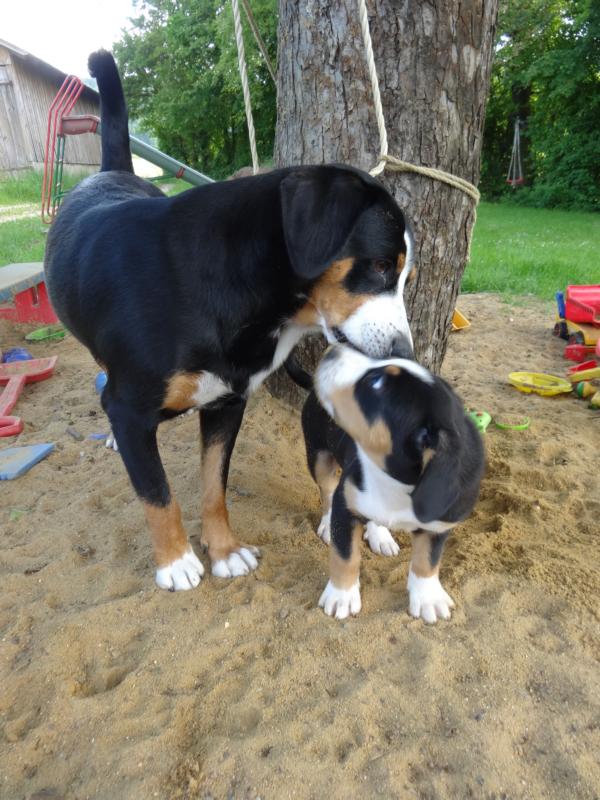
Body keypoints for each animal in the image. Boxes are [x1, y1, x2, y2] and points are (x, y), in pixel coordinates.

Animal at [44, 50, 417, 591]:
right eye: (382, 265)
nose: (403, 350)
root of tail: (109, 174)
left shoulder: (226, 404)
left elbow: (213, 486)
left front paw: (223, 551)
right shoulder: (131, 408)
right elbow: (157, 492)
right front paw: (176, 561)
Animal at [301, 345, 485, 622]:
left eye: (375, 383)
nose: (334, 349)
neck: (395, 482)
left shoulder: (440, 523)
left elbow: (427, 560)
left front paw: (428, 597)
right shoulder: (346, 505)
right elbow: (345, 556)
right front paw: (341, 596)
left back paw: (381, 535)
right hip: (319, 455)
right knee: (327, 490)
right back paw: (327, 523)